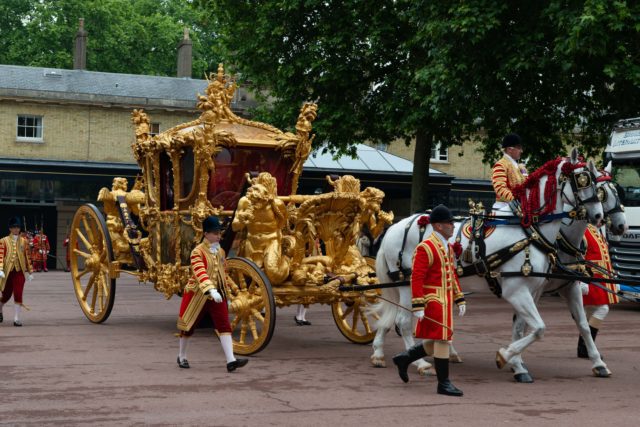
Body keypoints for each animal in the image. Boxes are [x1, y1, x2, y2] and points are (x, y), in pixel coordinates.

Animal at [370, 150, 604, 382]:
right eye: (582, 179)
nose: (599, 216)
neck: (530, 232)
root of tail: (397, 226)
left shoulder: (535, 290)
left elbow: (530, 328)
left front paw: (517, 364)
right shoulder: (516, 291)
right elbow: (538, 328)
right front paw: (506, 357)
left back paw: (387, 352)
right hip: (407, 285)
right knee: (403, 322)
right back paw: (419, 363)